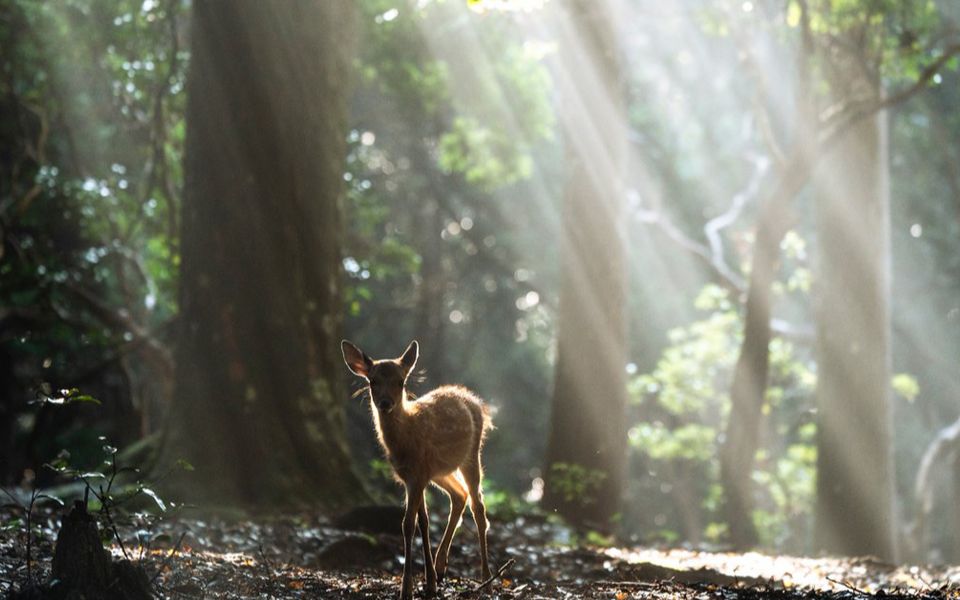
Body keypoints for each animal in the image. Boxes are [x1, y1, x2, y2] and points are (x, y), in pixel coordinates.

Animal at [344, 340, 496, 596]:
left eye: (401, 381)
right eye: (372, 381)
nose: (385, 403)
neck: (406, 437)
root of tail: (477, 403)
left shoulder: (418, 476)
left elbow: (408, 524)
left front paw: (407, 589)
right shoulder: (413, 476)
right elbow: (422, 522)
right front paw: (429, 581)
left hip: (472, 456)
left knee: (479, 507)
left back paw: (486, 578)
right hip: (441, 471)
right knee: (459, 495)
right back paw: (441, 566)